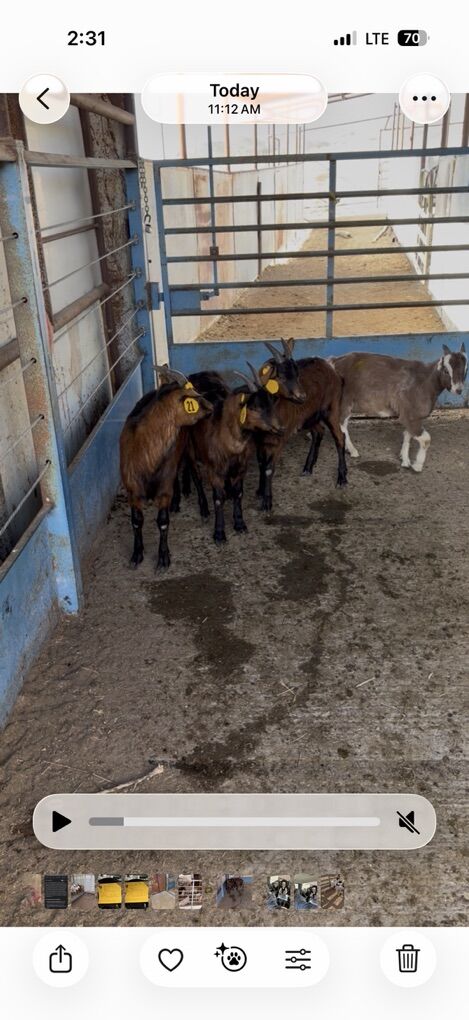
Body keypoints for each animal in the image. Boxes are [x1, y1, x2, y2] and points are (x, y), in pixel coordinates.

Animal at [120, 367, 212, 569]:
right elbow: (136, 521)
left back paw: (204, 509)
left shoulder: (163, 488)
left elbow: (162, 521)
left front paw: (163, 558)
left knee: (195, 475)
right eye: (190, 396)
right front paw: (136, 555)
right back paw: (176, 502)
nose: (211, 406)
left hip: (187, 447)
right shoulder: (132, 489)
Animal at [183, 367, 285, 542]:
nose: (279, 429)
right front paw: (219, 533)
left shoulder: (241, 466)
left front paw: (240, 524)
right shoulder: (214, 469)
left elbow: (239, 493)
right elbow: (218, 499)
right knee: (196, 479)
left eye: (271, 403)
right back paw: (204, 510)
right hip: (190, 448)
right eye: (255, 407)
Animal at [255, 338, 347, 511]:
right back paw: (308, 467)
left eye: (297, 374)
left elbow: (269, 468)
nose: (302, 396)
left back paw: (342, 478)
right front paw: (259, 490)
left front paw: (267, 502)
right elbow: (261, 463)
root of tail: (332, 370)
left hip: (330, 408)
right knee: (319, 431)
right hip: (309, 416)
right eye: (281, 376)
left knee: (339, 436)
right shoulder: (257, 439)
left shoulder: (280, 438)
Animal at [330, 342, 467, 472]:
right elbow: (426, 440)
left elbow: (407, 435)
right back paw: (353, 450)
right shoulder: (410, 416)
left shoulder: (412, 416)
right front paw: (417, 466)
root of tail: (333, 361)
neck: (426, 382)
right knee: (341, 424)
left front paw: (405, 460)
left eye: (465, 371)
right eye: (446, 371)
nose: (458, 390)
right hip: (345, 401)